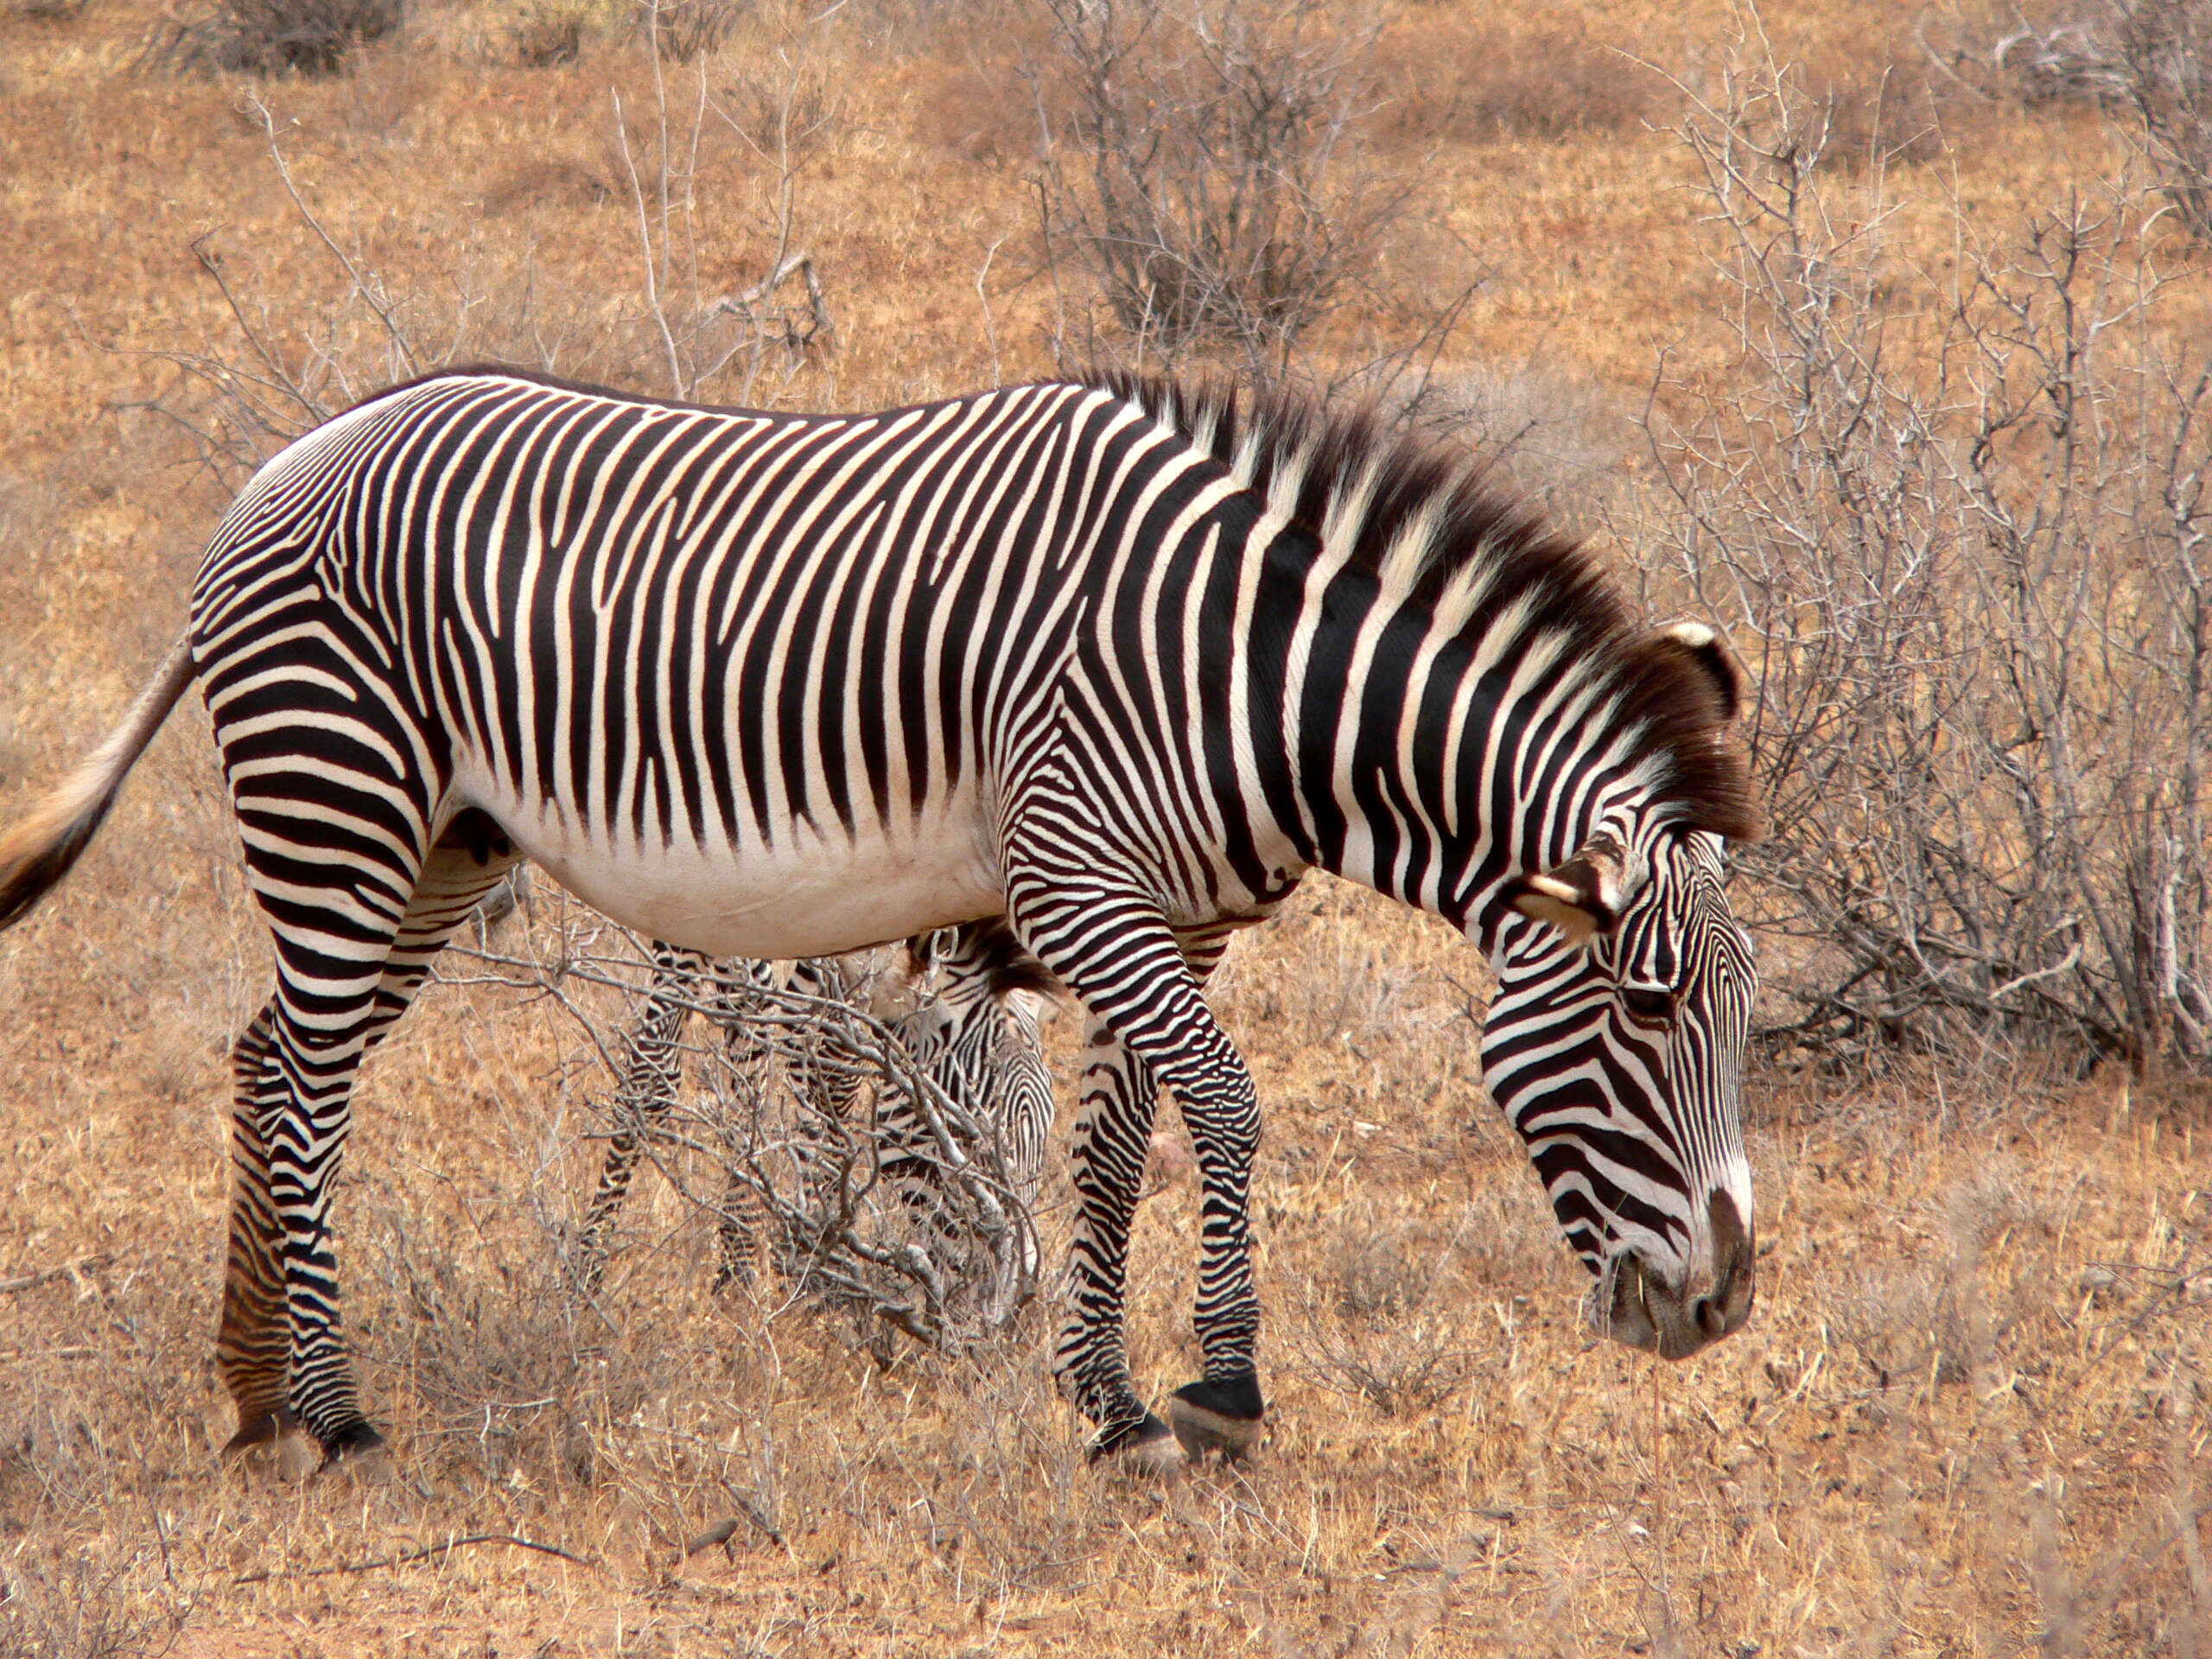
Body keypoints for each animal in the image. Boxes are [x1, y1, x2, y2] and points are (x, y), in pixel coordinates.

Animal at [570, 925, 1052, 1300]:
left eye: (1048, 1129)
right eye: (968, 1133)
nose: (1016, 1294)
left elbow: (799, 1048)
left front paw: (802, 1253)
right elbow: (657, 1073)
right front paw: (585, 1278)